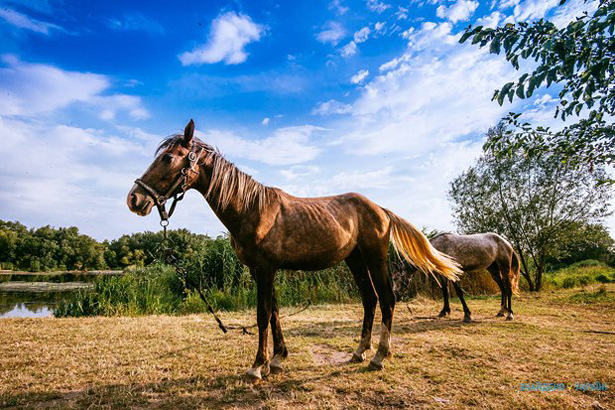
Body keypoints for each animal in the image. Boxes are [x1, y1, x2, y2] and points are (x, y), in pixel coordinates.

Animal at [126, 119, 462, 382]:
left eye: (169, 158)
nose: (135, 199)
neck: (251, 208)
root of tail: (380, 209)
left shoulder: (264, 269)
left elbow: (262, 314)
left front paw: (257, 366)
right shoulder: (262, 270)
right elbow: (274, 311)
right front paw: (277, 359)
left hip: (374, 257)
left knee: (387, 299)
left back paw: (379, 356)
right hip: (354, 260)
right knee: (369, 300)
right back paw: (359, 352)